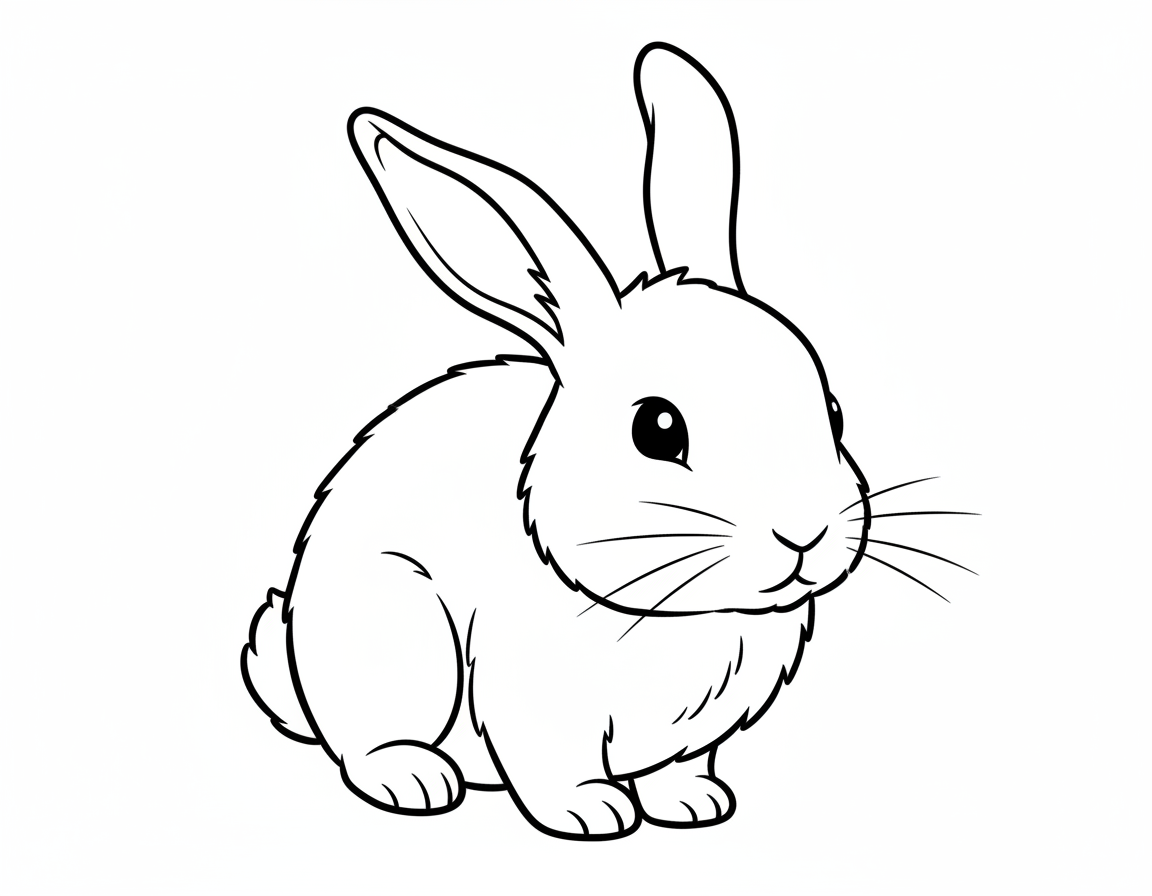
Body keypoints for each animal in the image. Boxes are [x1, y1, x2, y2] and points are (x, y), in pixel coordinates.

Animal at [241, 42, 871, 841]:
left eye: (834, 411)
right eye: (657, 429)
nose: (805, 535)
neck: (679, 611)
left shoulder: (691, 735)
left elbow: (678, 770)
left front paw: (694, 805)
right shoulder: (531, 703)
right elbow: (551, 770)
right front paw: (592, 813)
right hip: (396, 638)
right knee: (364, 738)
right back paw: (413, 778)